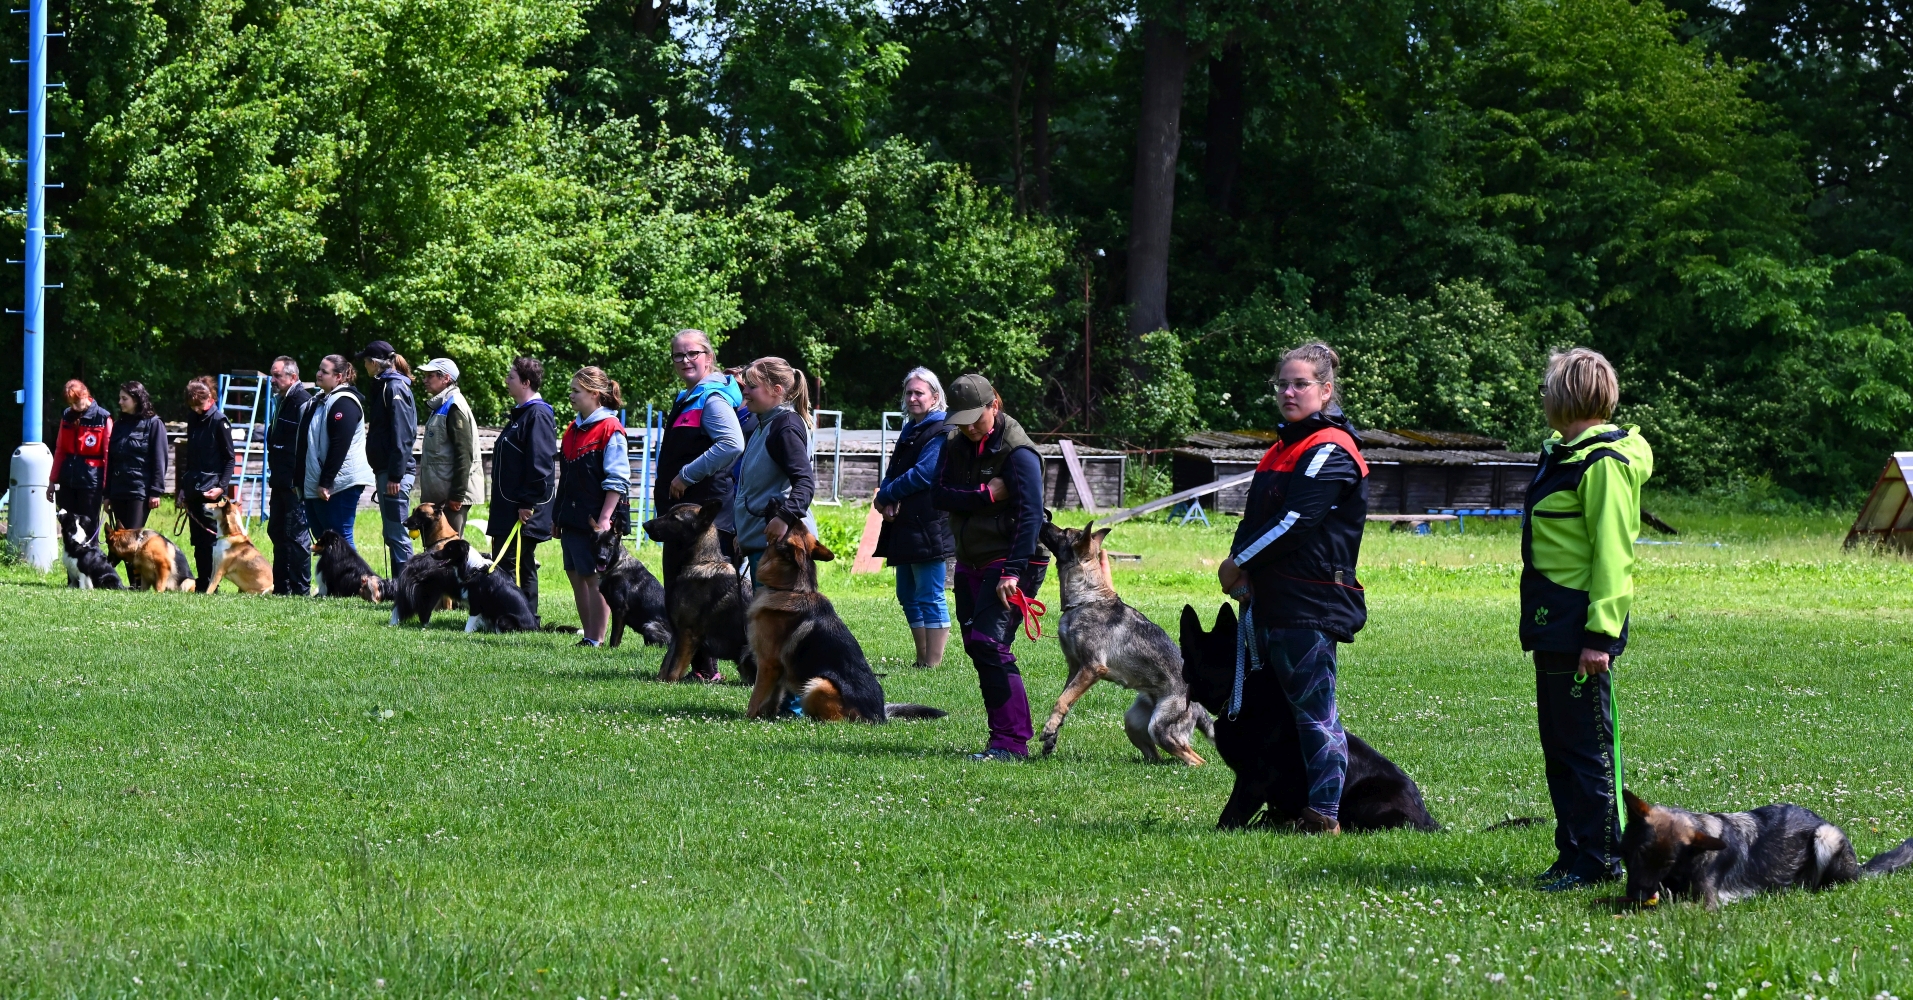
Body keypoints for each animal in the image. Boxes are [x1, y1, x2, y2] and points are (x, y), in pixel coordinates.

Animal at [646, 504, 757, 684]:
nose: (645, 525)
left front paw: (669, 684)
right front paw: (659, 683)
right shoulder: (677, 634)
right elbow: (665, 665)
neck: (699, 562)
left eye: (674, 518)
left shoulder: (687, 634)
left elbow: (674, 669)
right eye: (668, 512)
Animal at [742, 523, 945, 726]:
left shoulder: (768, 664)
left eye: (792, 524)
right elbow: (772, 699)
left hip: (819, 684)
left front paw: (748, 718)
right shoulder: (777, 671)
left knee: (835, 721)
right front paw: (767, 715)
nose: (789, 514)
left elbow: (756, 697)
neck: (790, 588)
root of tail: (879, 717)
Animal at [1033, 520, 1209, 764]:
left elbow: (1061, 701)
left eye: (1065, 531)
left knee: (1197, 760)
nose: (1044, 519)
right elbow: (1065, 700)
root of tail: (1199, 705)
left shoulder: (1092, 668)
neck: (1086, 599)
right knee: (1155, 757)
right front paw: (1052, 735)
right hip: (1133, 723)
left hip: (1160, 728)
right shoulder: (1075, 669)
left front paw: (1048, 729)